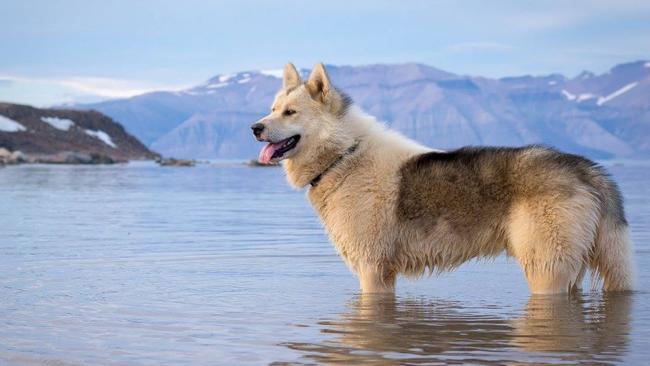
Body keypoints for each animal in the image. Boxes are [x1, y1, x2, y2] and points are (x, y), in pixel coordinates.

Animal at [249, 61, 632, 294]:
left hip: (546, 272)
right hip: (573, 272)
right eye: (271, 109)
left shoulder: (373, 271)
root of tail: (585, 168)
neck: (345, 156)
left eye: (290, 112)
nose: (254, 128)